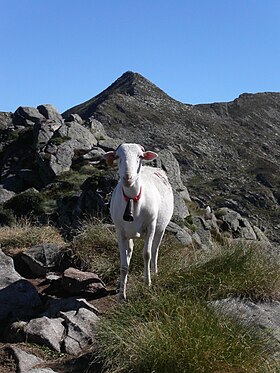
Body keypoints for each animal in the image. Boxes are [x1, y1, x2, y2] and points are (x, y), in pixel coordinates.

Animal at [104, 142, 174, 300]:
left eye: (140, 156)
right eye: (117, 156)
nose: (128, 177)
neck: (132, 199)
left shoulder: (151, 225)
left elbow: (147, 254)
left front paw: (147, 283)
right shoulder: (119, 231)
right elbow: (124, 264)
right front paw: (121, 295)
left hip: (161, 228)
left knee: (155, 249)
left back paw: (154, 272)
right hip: (128, 233)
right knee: (130, 250)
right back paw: (121, 283)